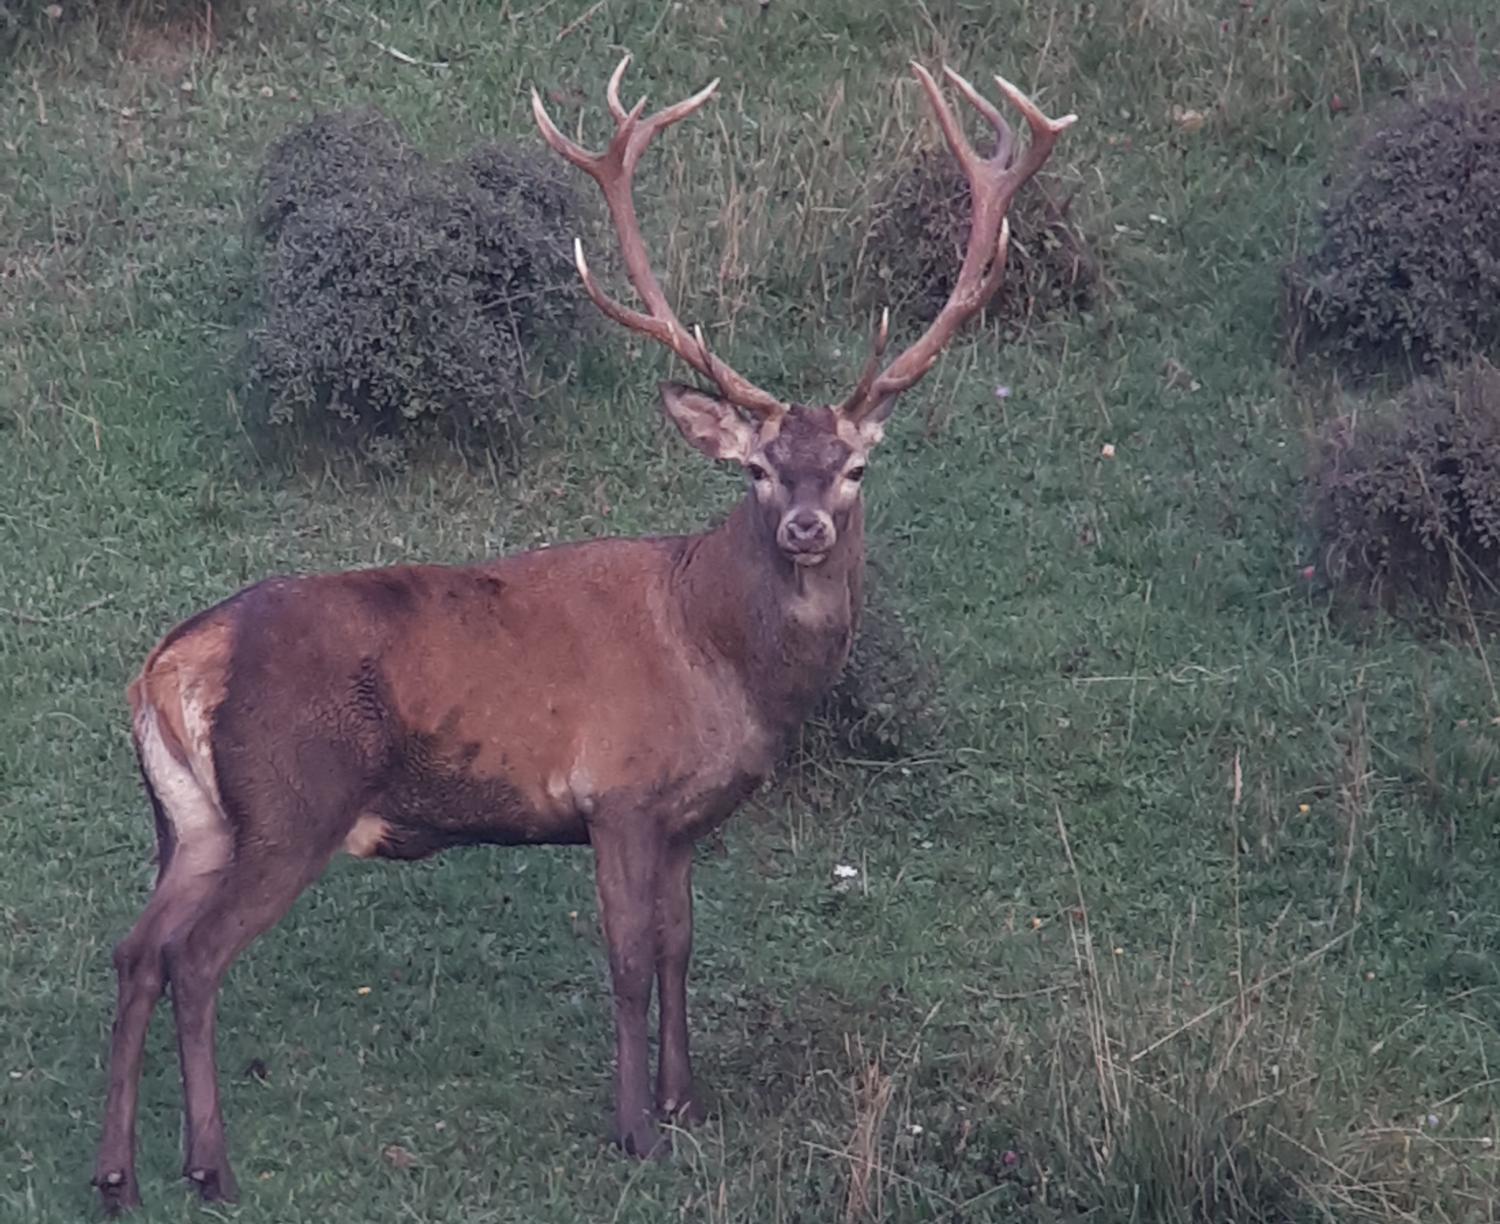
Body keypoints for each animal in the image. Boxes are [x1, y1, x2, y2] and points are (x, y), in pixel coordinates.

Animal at [87, 50, 1074, 1212]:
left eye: (856, 465)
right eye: (754, 467)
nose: (805, 524)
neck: (719, 659)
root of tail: (169, 665)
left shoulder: (688, 817)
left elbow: (684, 947)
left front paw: (689, 1105)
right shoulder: (618, 796)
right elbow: (631, 959)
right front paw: (636, 1129)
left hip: (192, 820)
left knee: (136, 952)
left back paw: (117, 1174)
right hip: (290, 801)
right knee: (195, 959)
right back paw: (210, 1166)